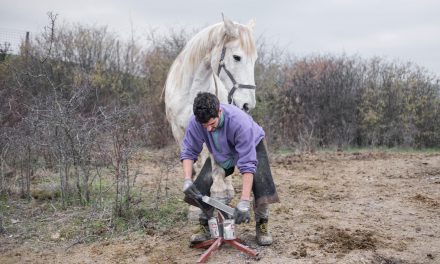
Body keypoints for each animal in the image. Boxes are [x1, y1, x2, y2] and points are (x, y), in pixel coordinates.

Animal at [164, 15, 258, 203]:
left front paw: (218, 193)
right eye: (237, 57)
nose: (248, 105)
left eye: (255, 59)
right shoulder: (178, 131)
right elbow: (192, 162)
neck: (191, 93)